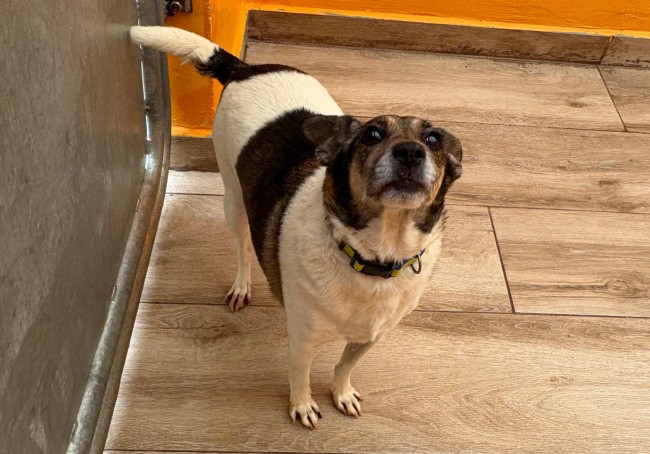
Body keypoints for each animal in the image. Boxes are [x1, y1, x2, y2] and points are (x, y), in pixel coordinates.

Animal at [130, 26, 463, 429]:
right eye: (371, 135)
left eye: (433, 139)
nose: (411, 152)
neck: (372, 255)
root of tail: (244, 68)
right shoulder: (303, 340)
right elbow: (300, 375)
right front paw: (302, 405)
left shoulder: (369, 338)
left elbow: (344, 366)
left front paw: (341, 393)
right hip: (233, 200)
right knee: (243, 247)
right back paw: (241, 286)